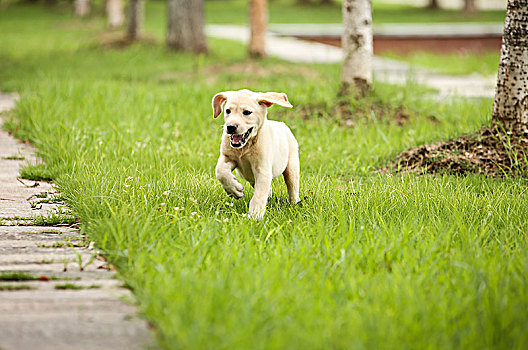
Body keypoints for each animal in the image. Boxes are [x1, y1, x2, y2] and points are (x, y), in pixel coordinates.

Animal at [211, 88, 302, 219]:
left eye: (247, 112)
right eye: (228, 111)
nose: (230, 127)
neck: (245, 147)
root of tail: (282, 124)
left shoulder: (262, 170)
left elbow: (258, 195)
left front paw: (255, 216)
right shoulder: (227, 157)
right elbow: (220, 171)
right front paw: (234, 189)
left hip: (292, 165)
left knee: (292, 187)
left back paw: (295, 203)